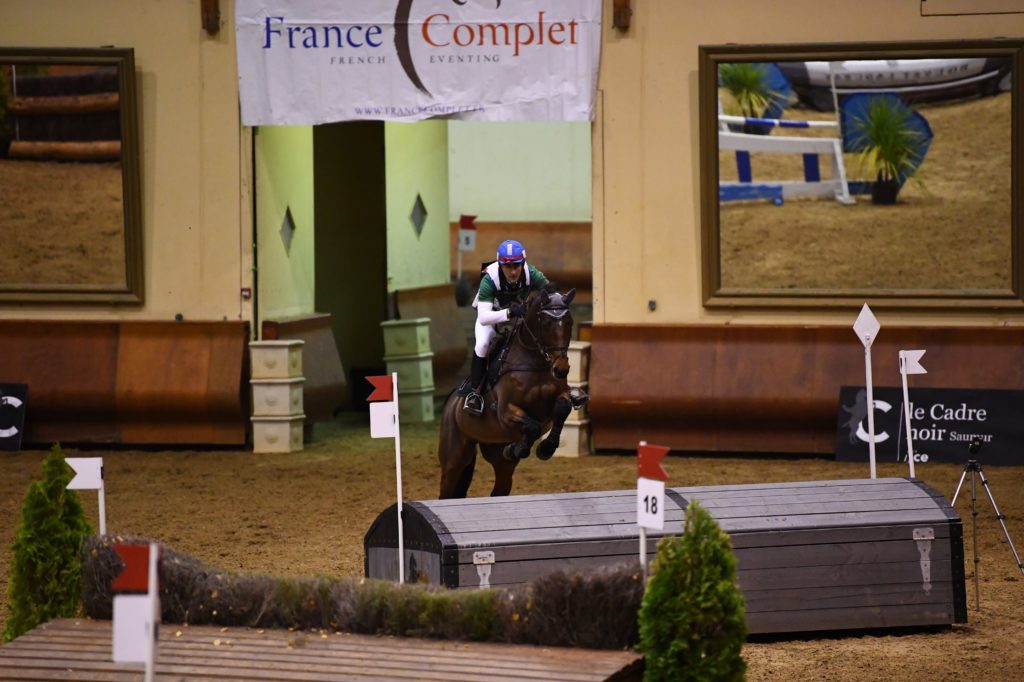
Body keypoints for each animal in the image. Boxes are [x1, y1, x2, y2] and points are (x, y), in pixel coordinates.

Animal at [436, 284, 577, 497]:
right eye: (545, 324)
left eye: (569, 322)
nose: (561, 369)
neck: (534, 362)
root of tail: (450, 402)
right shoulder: (505, 411)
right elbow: (532, 426)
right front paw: (519, 448)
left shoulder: (560, 396)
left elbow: (562, 408)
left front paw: (546, 448)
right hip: (454, 459)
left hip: (499, 459)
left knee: (499, 487)